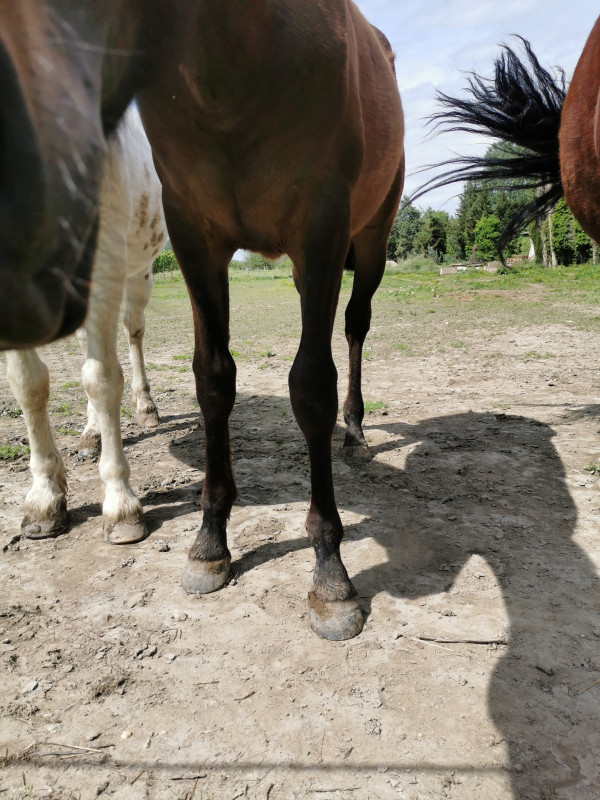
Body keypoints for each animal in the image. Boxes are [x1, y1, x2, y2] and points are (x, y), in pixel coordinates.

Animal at [5, 106, 167, 545]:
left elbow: (103, 379)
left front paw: (121, 505)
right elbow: (28, 385)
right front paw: (44, 499)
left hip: (138, 271)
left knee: (133, 331)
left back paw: (146, 405)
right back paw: (92, 434)